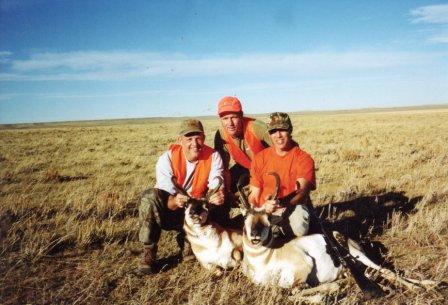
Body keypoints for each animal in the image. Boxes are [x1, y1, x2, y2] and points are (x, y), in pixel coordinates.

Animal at [240, 173, 436, 294]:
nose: (255, 236)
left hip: (359, 256)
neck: (267, 259)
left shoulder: (304, 269)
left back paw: (424, 286)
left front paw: (331, 287)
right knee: (379, 273)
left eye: (267, 218)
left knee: (387, 270)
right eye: (246, 218)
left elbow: (297, 290)